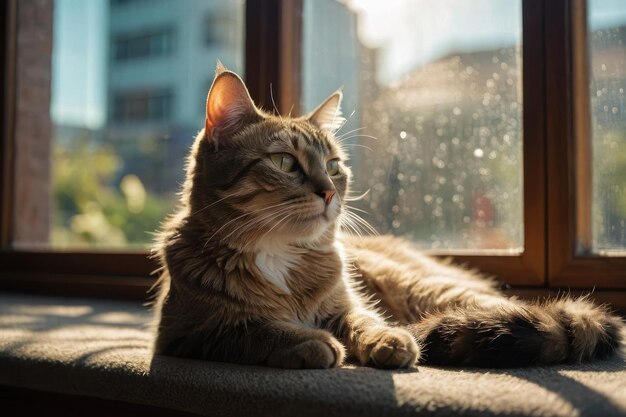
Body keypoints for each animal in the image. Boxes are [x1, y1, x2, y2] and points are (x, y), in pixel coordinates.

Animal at [152, 61, 624, 368]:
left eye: (334, 166)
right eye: (285, 162)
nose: (328, 192)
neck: (278, 254)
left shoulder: (346, 304)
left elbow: (363, 319)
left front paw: (387, 338)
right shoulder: (187, 332)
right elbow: (252, 329)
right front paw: (310, 342)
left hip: (428, 290)